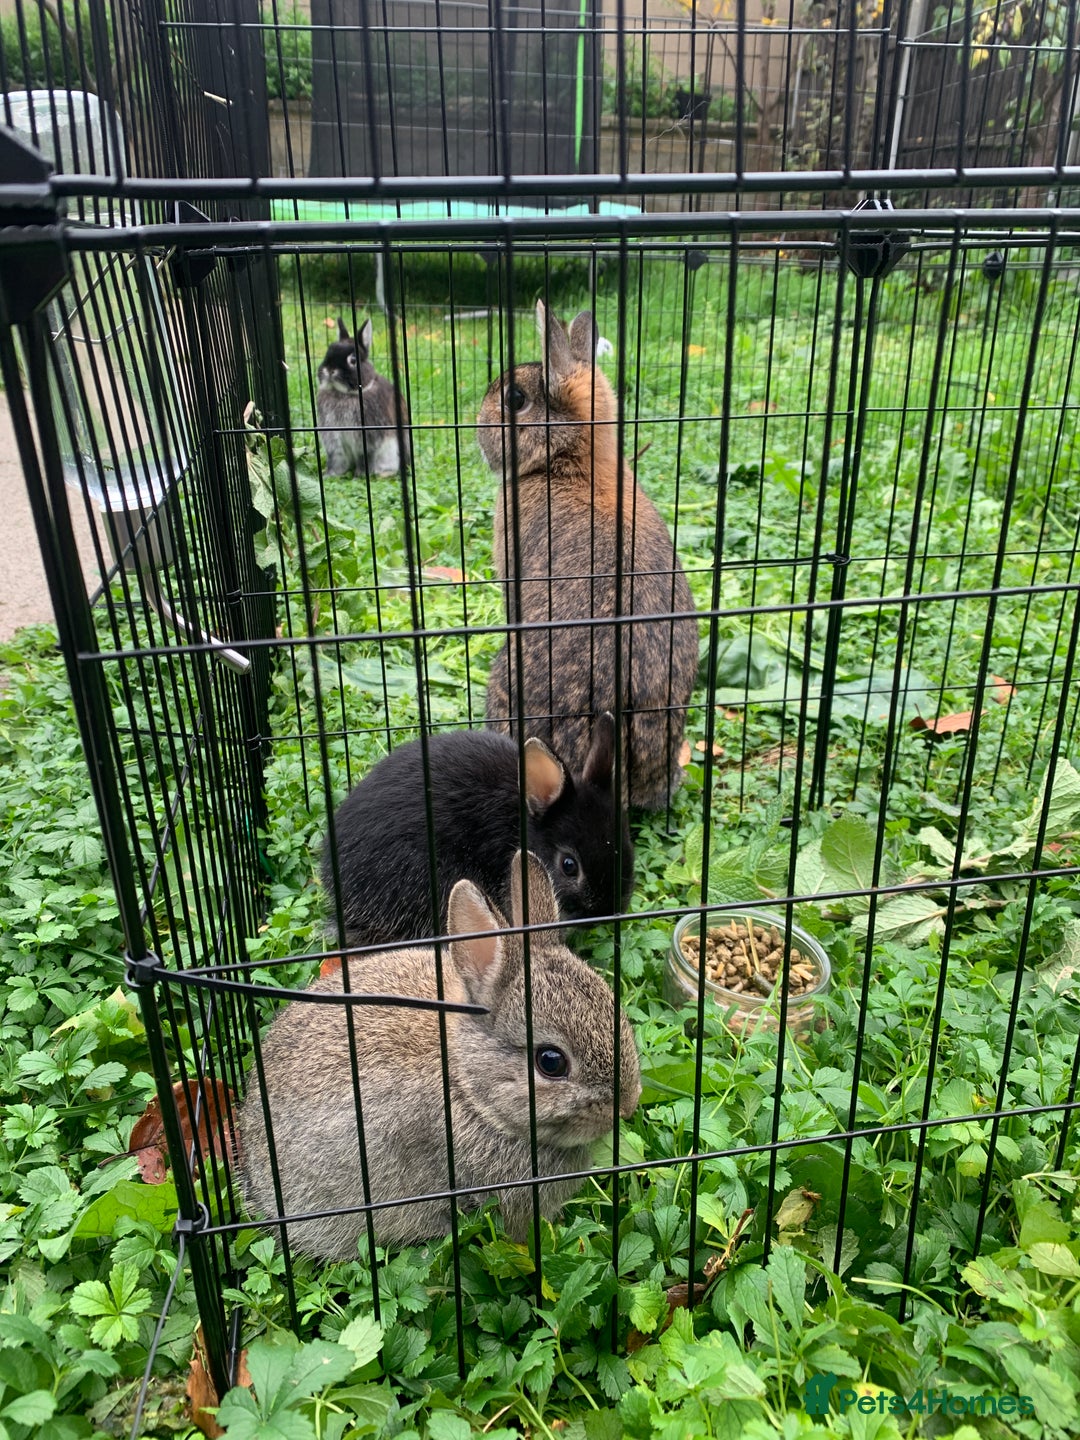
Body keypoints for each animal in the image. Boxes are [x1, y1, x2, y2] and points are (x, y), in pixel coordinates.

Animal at [316, 317, 412, 477]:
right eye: (328, 352)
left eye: (353, 360)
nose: (329, 370)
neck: (344, 394)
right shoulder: (333, 438)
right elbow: (336, 458)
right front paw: (330, 475)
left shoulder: (367, 438)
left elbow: (364, 457)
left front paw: (360, 475)